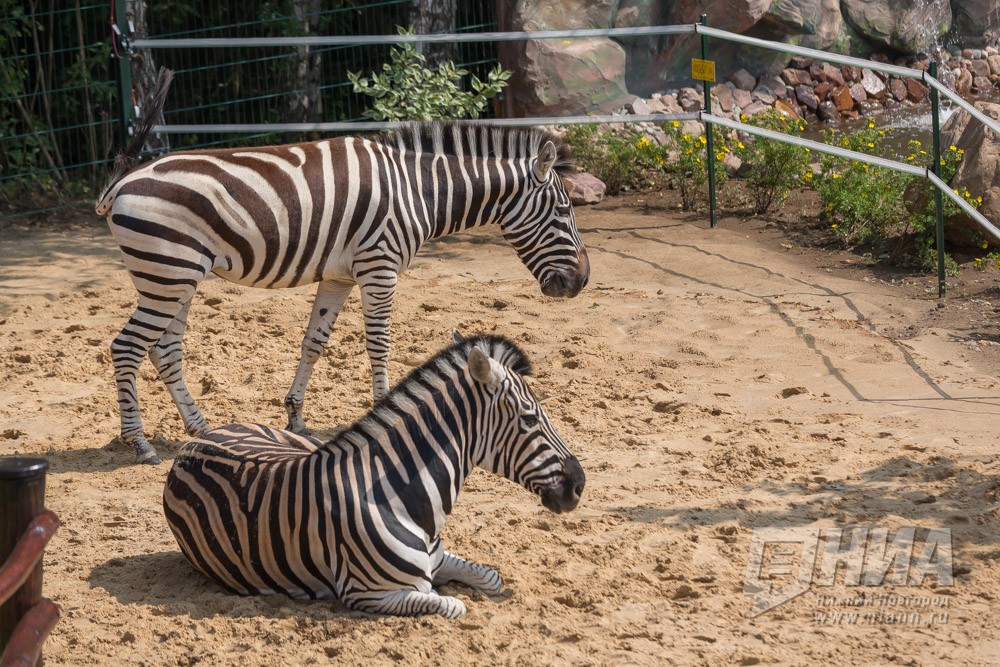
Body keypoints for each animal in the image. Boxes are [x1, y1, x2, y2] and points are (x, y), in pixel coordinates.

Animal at [95, 68, 584, 464]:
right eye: (563, 211)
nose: (581, 282)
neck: (419, 190)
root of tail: (124, 181)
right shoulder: (380, 266)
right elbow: (379, 344)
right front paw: (385, 408)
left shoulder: (337, 276)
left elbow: (314, 342)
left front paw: (295, 417)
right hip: (168, 273)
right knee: (127, 348)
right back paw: (140, 444)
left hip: (176, 277)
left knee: (164, 350)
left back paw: (200, 428)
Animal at [164, 332, 584, 620]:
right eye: (529, 419)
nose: (579, 483)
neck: (400, 498)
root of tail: (198, 441)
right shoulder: (369, 592)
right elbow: (452, 605)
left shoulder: (436, 558)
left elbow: (492, 578)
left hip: (295, 442)